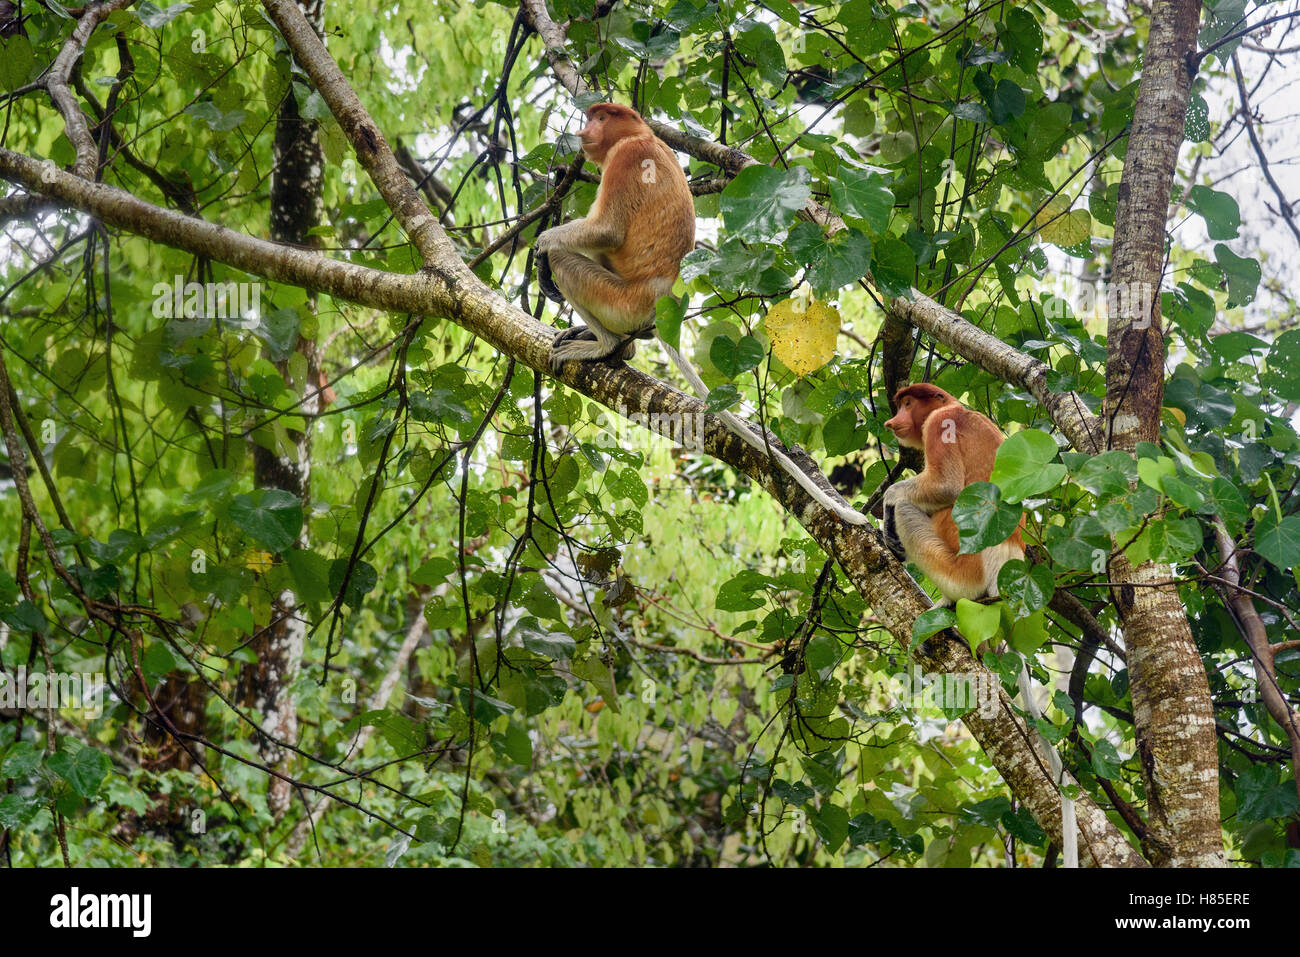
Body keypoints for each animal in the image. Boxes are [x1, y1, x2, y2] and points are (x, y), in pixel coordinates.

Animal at [537, 103, 875, 527]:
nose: (585, 131)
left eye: (601, 117)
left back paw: (606, 345)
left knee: (568, 257)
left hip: (621, 300)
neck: (640, 136)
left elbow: (607, 230)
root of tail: (660, 302)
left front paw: (541, 245)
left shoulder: (628, 158)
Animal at [882, 382, 1078, 867]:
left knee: (915, 511)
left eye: (908, 403)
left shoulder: (941, 426)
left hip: (959, 568)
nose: (893, 421)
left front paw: (886, 507)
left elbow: (944, 486)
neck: (956, 405)